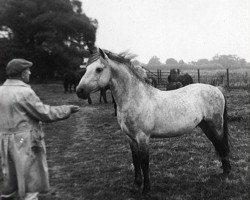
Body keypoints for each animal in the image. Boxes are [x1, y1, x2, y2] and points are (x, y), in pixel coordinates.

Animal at [75, 47, 230, 194]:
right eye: (86, 69)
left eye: (99, 69)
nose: (79, 91)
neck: (136, 98)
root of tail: (217, 90)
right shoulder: (130, 138)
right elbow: (135, 160)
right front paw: (136, 184)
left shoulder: (143, 137)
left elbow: (144, 162)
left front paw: (146, 189)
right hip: (205, 126)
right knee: (218, 145)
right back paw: (224, 171)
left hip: (215, 125)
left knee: (221, 145)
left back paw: (226, 174)